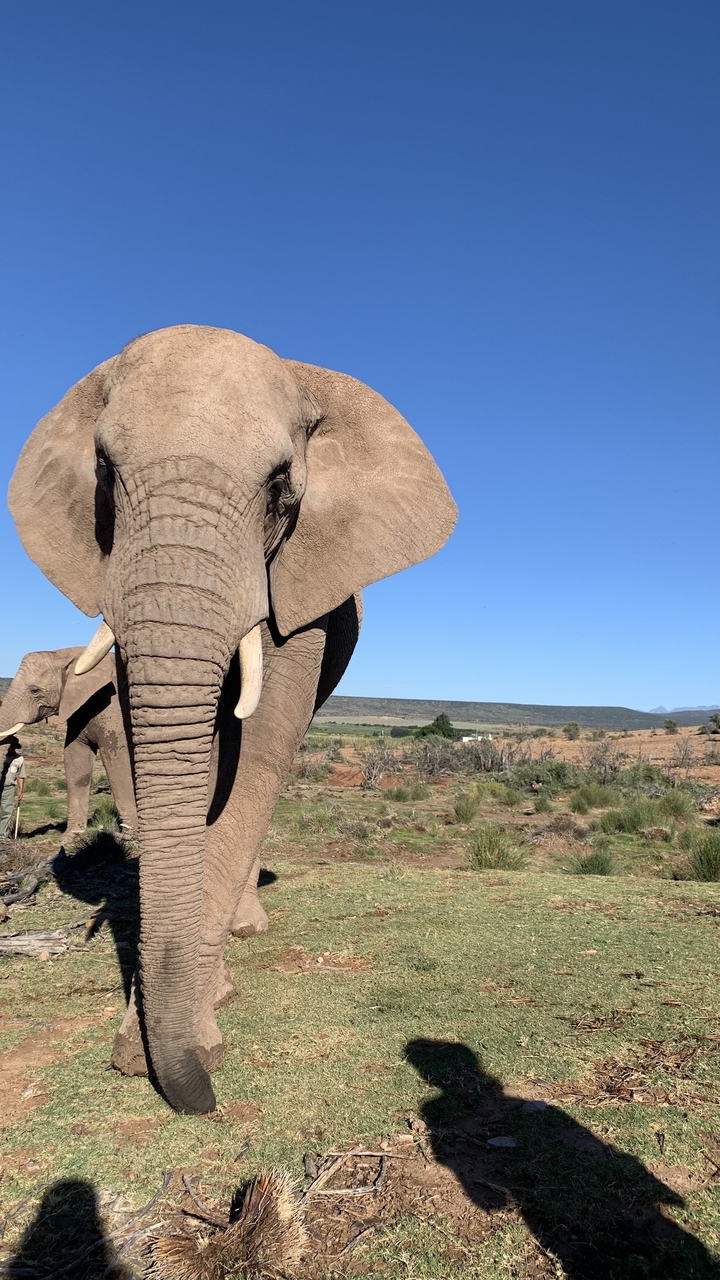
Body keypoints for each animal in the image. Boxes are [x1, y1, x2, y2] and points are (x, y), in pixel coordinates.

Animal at [0, 648, 136, 834]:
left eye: (35, 691)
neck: (65, 654)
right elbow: (75, 757)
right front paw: (71, 836)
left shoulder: (114, 709)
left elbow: (118, 759)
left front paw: (131, 834)